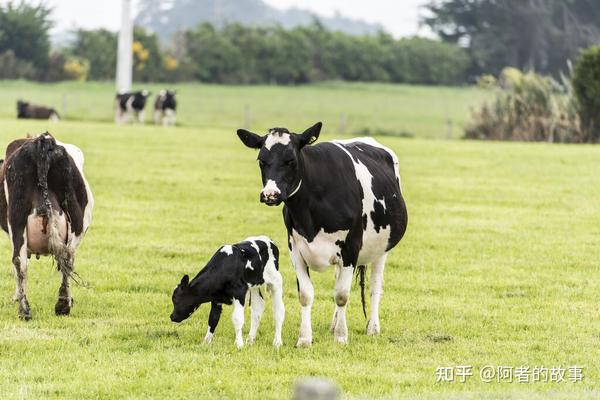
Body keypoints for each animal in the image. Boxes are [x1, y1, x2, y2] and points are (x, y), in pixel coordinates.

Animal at [0, 133, 94, 320]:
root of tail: (42, 141)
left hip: (17, 217)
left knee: (19, 260)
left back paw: (24, 311)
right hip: (78, 221)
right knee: (67, 257)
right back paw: (63, 304)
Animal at [238, 123, 408, 346]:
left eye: (291, 160)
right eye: (261, 161)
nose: (270, 194)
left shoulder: (351, 248)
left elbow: (342, 295)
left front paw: (341, 336)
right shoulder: (295, 248)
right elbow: (306, 295)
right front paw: (304, 338)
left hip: (382, 248)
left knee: (374, 287)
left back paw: (372, 327)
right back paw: (334, 324)